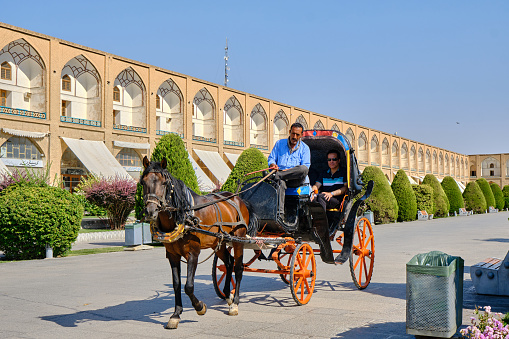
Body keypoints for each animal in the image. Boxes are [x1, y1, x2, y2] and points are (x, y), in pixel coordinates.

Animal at [140, 158, 256, 330]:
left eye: (164, 183)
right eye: (143, 182)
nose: (150, 211)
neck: (184, 216)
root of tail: (238, 198)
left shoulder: (193, 253)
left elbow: (188, 286)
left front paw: (200, 307)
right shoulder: (172, 255)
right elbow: (176, 284)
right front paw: (175, 315)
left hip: (238, 239)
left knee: (238, 267)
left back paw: (235, 303)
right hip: (219, 242)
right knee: (229, 263)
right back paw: (227, 295)